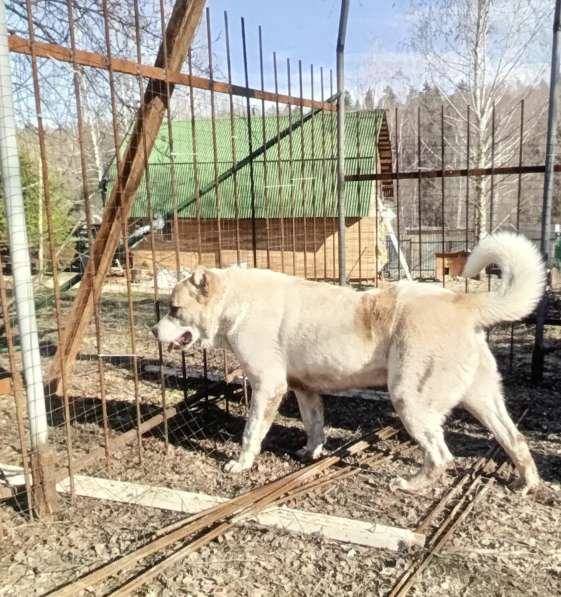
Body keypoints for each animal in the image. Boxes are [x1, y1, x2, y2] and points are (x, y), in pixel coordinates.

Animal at [152, 233, 544, 494]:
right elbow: (314, 425)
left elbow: (251, 432)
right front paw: (311, 453)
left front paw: (240, 463)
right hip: (483, 401)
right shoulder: (304, 390)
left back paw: (410, 484)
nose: (153, 329)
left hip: (410, 400)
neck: (236, 301)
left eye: (174, 308)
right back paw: (527, 484)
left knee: (440, 455)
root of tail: (462, 303)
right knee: (515, 439)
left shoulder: (268, 387)